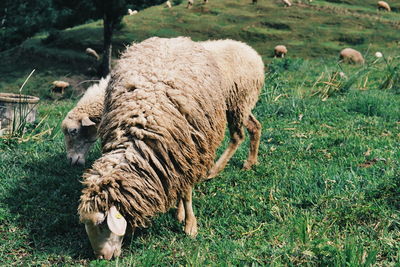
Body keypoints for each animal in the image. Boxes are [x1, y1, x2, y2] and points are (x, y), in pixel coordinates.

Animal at [78, 36, 266, 260]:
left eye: (101, 224)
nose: (101, 258)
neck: (138, 135)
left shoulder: (186, 152)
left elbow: (186, 193)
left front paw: (190, 225)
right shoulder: (171, 160)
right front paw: (180, 213)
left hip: (237, 102)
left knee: (238, 135)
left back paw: (217, 170)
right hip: (237, 104)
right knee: (253, 127)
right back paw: (249, 161)